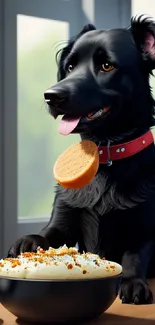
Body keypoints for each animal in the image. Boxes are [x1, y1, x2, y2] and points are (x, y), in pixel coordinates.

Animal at [8, 15, 155, 304]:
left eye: (107, 65)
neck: (105, 156)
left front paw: (133, 283)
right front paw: (28, 240)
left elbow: (135, 253)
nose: (51, 96)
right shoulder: (64, 217)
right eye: (70, 66)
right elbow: (49, 234)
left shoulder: (146, 227)